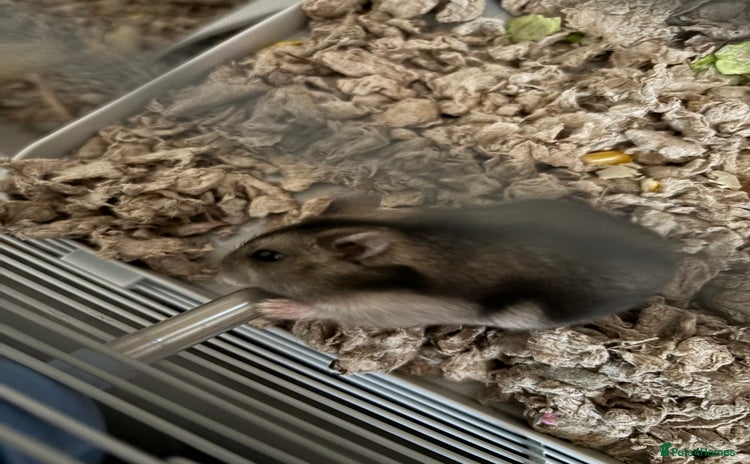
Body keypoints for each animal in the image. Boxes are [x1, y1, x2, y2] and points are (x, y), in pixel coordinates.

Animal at [219, 194, 678, 330]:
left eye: (267, 256)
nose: (220, 268)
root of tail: (669, 257)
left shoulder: (378, 309)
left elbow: (321, 308)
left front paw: (272, 306)